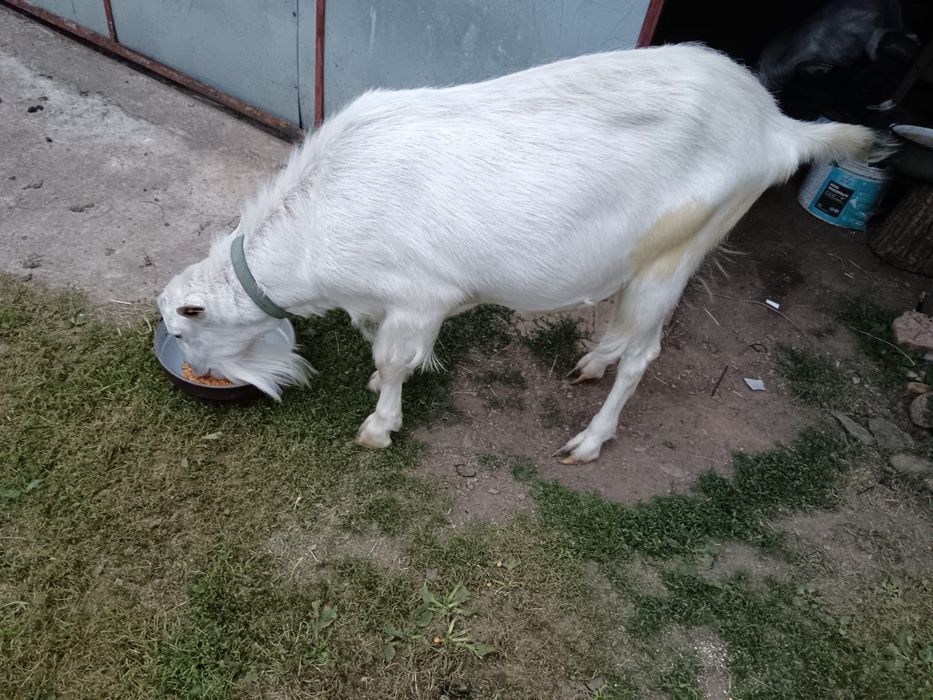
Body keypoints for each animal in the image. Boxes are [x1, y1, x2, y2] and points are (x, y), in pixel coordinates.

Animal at [158, 44, 886, 463]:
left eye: (186, 334)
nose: (203, 376)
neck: (320, 217)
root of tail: (774, 125)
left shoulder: (419, 296)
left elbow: (393, 360)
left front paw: (378, 424)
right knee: (624, 330)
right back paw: (592, 361)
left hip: (681, 248)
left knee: (646, 351)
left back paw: (589, 440)